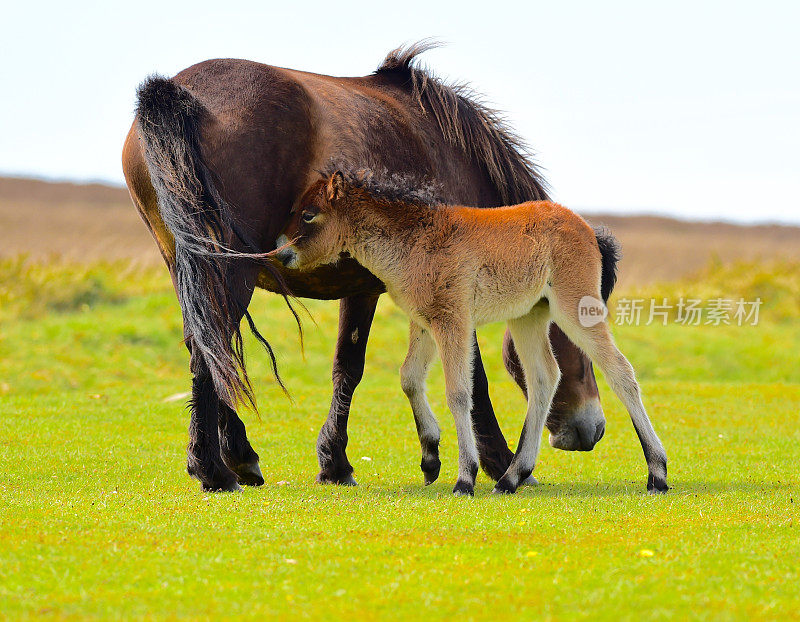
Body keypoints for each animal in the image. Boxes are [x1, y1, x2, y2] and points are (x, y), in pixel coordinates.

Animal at [120, 42, 608, 492]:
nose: (594, 430)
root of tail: (177, 91)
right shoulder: (433, 291)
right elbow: (459, 378)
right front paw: (496, 462)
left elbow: (349, 367)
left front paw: (338, 462)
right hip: (228, 274)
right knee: (213, 348)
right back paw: (215, 470)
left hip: (190, 269)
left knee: (206, 347)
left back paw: (235, 459)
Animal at [276, 171, 668, 498]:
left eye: (309, 215)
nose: (282, 254)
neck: (414, 239)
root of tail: (588, 229)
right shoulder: (425, 322)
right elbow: (409, 378)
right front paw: (430, 458)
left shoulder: (453, 322)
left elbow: (459, 393)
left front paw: (465, 478)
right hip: (529, 316)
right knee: (544, 377)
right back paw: (511, 477)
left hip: (575, 307)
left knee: (620, 372)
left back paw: (657, 474)